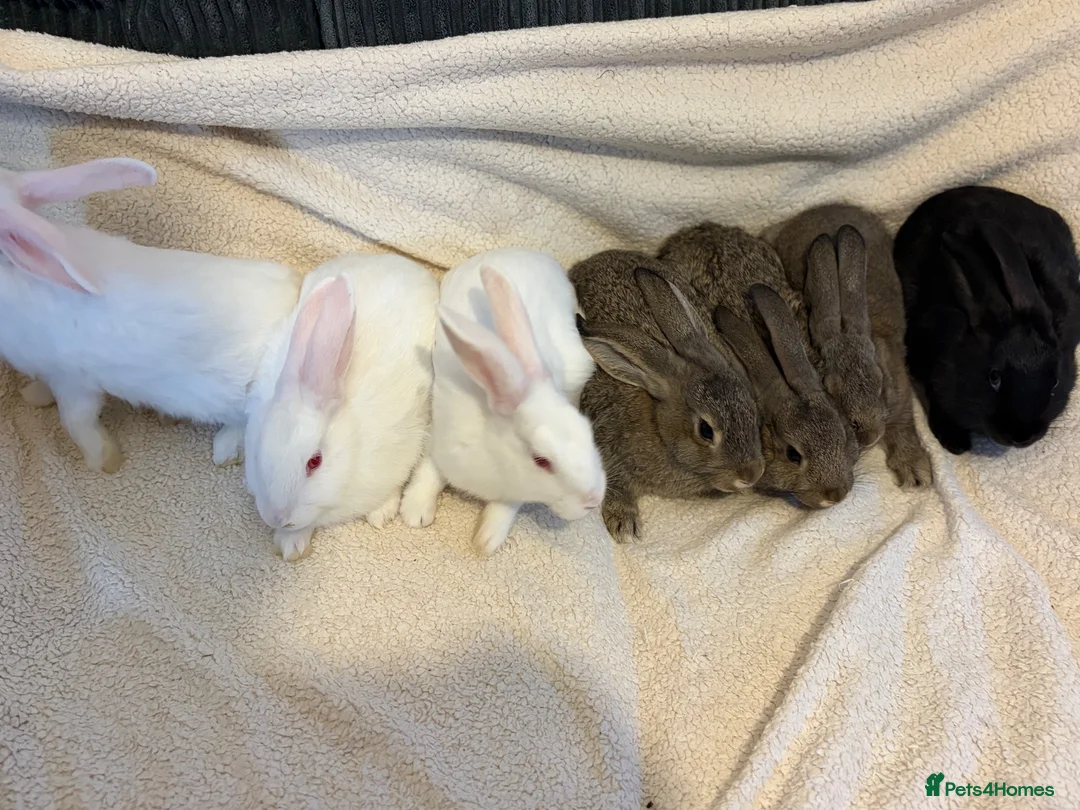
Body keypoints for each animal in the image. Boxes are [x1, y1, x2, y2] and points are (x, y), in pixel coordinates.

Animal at [244, 253, 438, 561]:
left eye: (315, 461)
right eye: (257, 452)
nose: (276, 518)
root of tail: (399, 260)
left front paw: (381, 513)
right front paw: (291, 545)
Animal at [399, 248, 606, 556]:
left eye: (589, 432)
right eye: (541, 460)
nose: (594, 500)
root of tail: (529, 254)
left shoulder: (515, 490)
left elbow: (505, 507)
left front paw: (486, 539)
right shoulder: (438, 439)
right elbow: (428, 471)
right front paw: (415, 513)